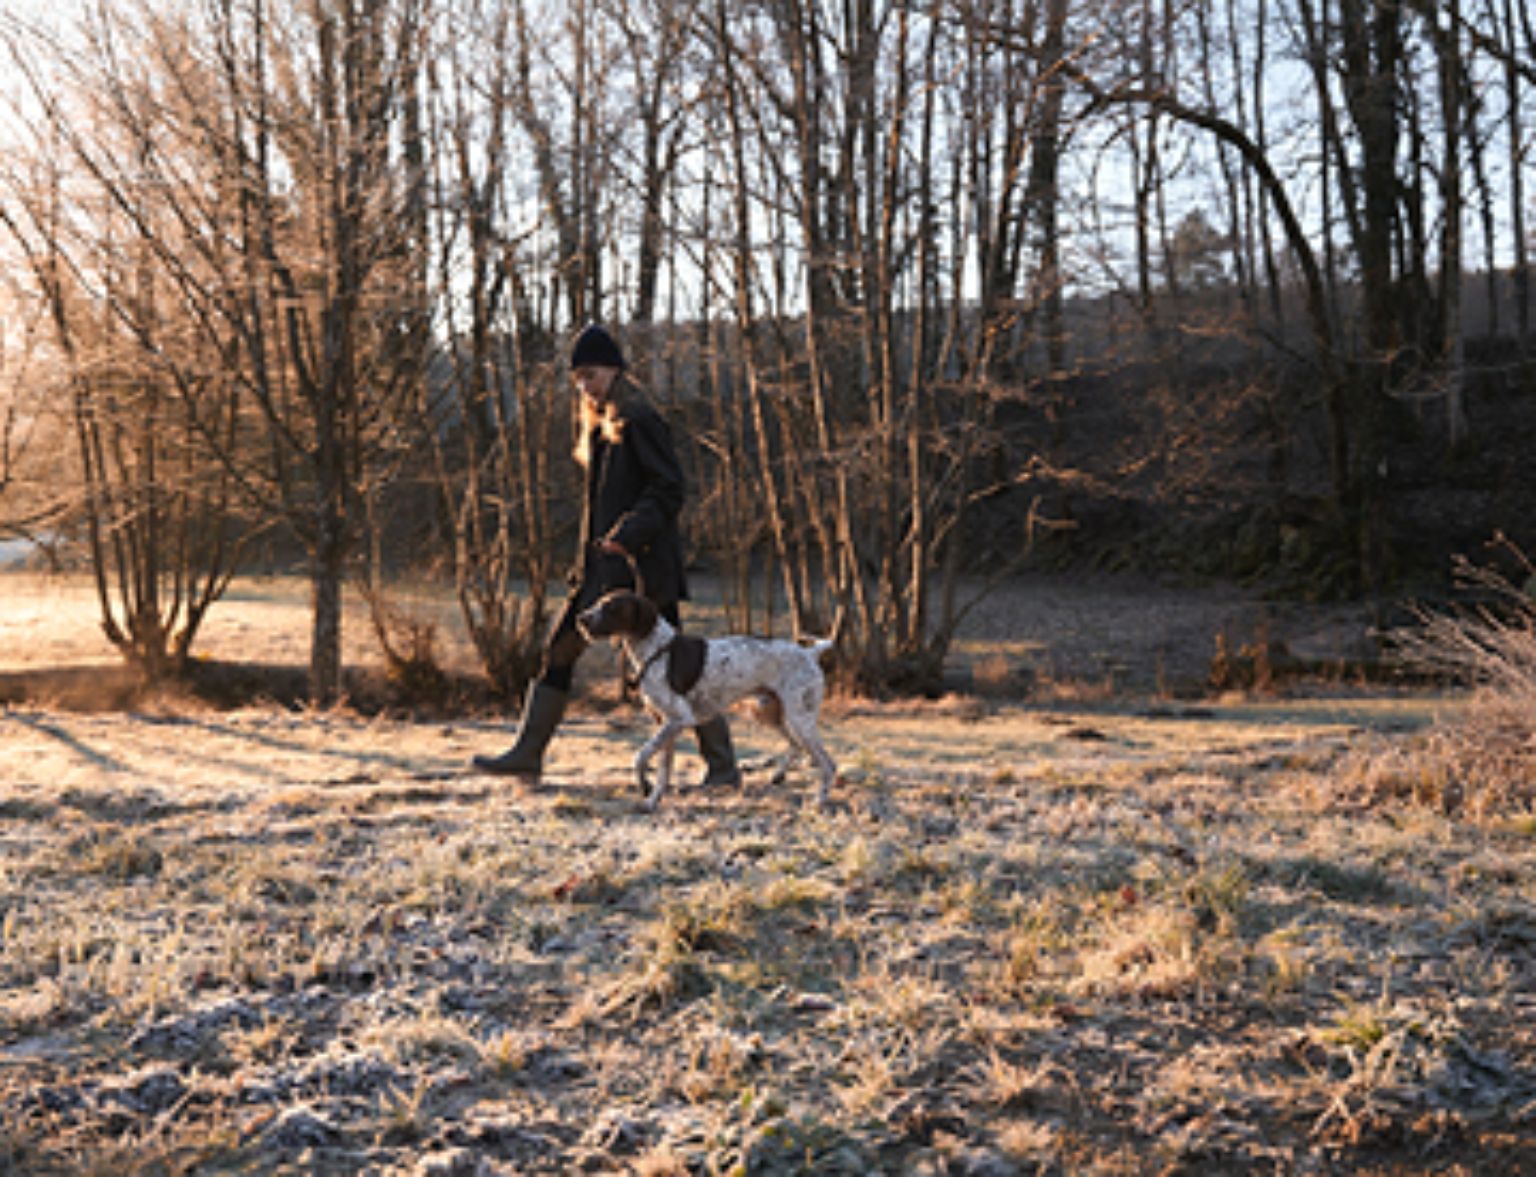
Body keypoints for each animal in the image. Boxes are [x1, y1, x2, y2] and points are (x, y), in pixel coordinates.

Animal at [577, 590, 841, 811]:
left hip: (798, 718)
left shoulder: (679, 719)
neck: (657, 652)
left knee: (828, 764)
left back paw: (819, 800)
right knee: (796, 745)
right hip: (769, 712)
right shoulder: (666, 724)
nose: (580, 618)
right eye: (599, 602)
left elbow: (640, 756)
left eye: (611, 607)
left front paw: (644, 785)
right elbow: (663, 770)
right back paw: (778, 776)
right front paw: (653, 800)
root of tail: (809, 653)